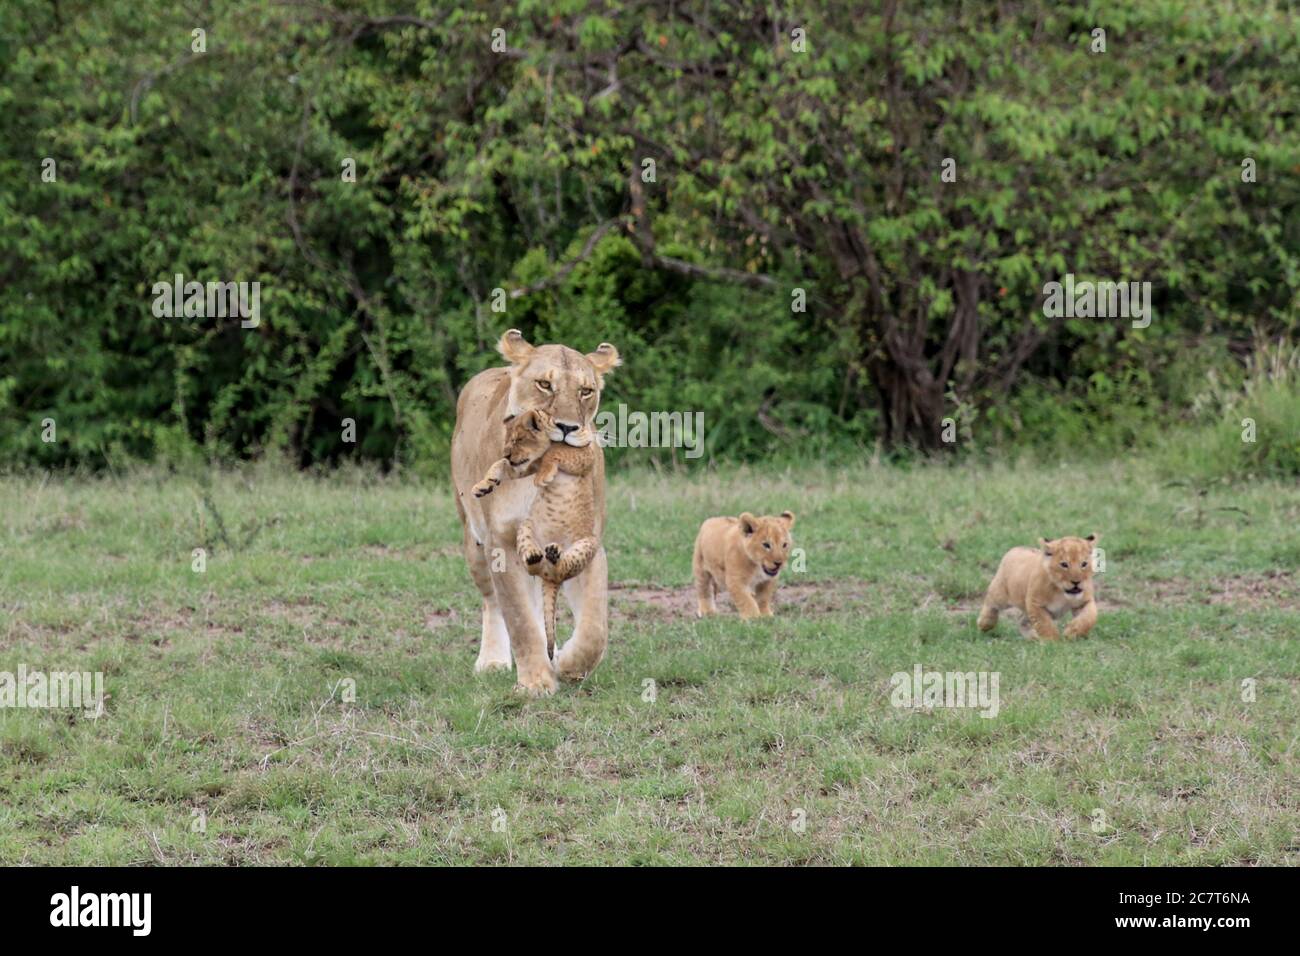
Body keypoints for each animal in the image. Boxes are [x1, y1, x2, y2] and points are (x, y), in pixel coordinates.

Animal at [471, 407, 600, 661]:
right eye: (508, 440)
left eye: (518, 439)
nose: (507, 452)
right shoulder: (524, 467)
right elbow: (499, 465)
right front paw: (482, 485)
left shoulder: (584, 456)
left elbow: (557, 453)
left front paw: (544, 476)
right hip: (525, 527)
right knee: (536, 567)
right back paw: (537, 555)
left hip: (587, 543)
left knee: (562, 570)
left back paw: (554, 555)